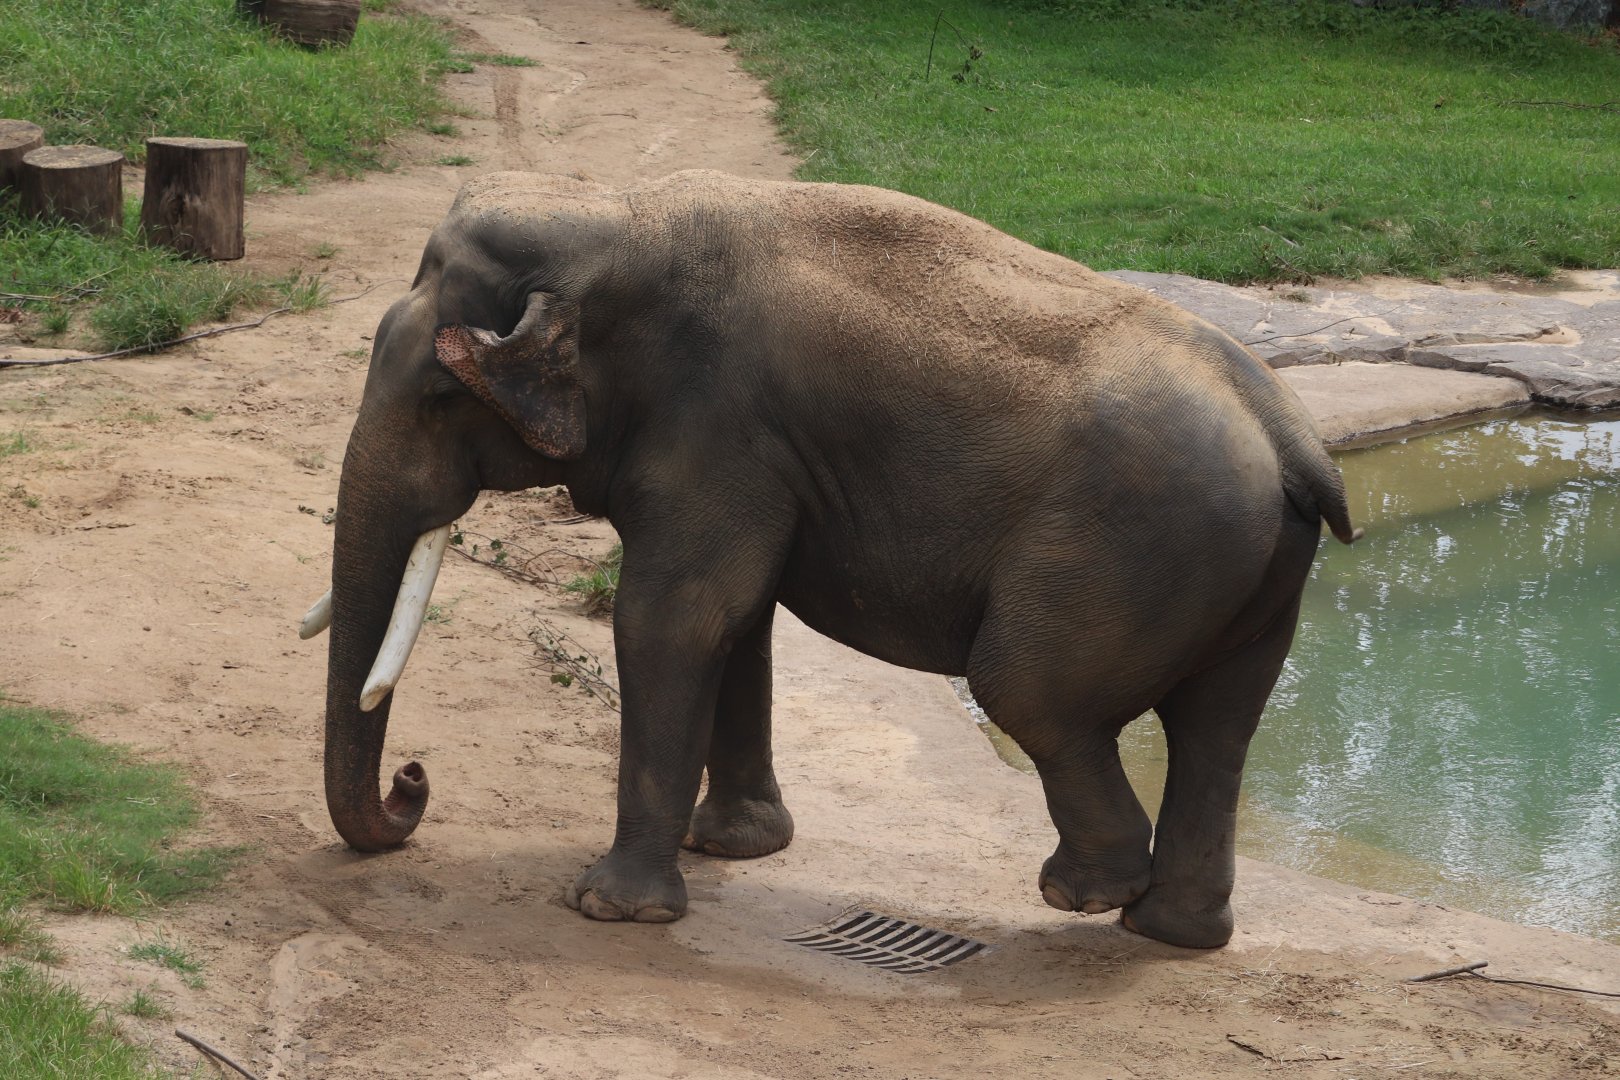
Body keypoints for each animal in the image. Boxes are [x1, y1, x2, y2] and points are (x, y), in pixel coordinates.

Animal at [299, 169, 1359, 950]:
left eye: (442, 396)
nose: (414, 784)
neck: (614, 214)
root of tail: (1293, 437)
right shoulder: (748, 457)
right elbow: (738, 620)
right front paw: (735, 848)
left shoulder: (717, 427)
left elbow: (672, 617)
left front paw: (611, 909)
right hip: (1255, 575)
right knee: (1219, 727)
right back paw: (1172, 933)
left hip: (1134, 550)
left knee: (1028, 688)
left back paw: (1086, 894)